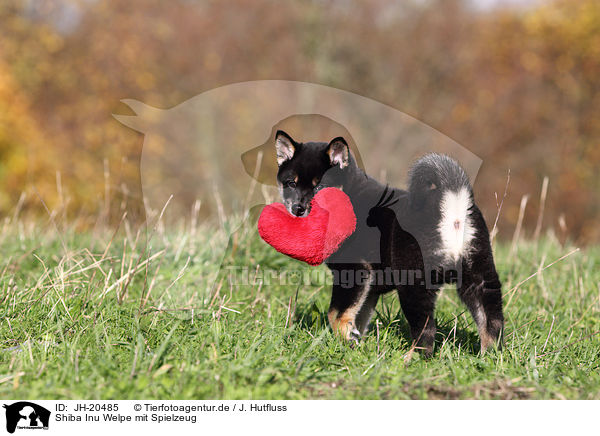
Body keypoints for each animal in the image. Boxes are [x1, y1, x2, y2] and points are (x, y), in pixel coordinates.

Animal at [274, 129, 504, 354]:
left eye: (320, 186)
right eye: (291, 183)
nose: (298, 208)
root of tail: (452, 208)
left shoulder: (353, 271)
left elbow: (336, 313)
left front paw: (347, 339)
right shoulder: (370, 287)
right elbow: (360, 316)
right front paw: (357, 343)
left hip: (414, 283)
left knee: (426, 330)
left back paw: (412, 358)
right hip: (479, 277)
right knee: (492, 322)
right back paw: (488, 357)